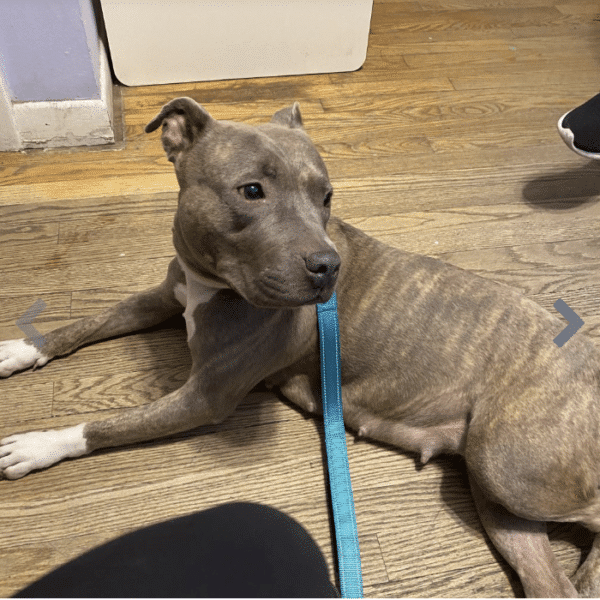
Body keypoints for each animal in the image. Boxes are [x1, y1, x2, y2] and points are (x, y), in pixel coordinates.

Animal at [1, 98, 600, 596]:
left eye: (326, 197)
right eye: (251, 191)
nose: (327, 267)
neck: (212, 285)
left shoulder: (205, 397)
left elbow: (105, 425)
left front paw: (39, 444)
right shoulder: (164, 296)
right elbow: (86, 323)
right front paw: (22, 349)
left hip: (505, 466)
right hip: (498, 494)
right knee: (552, 584)